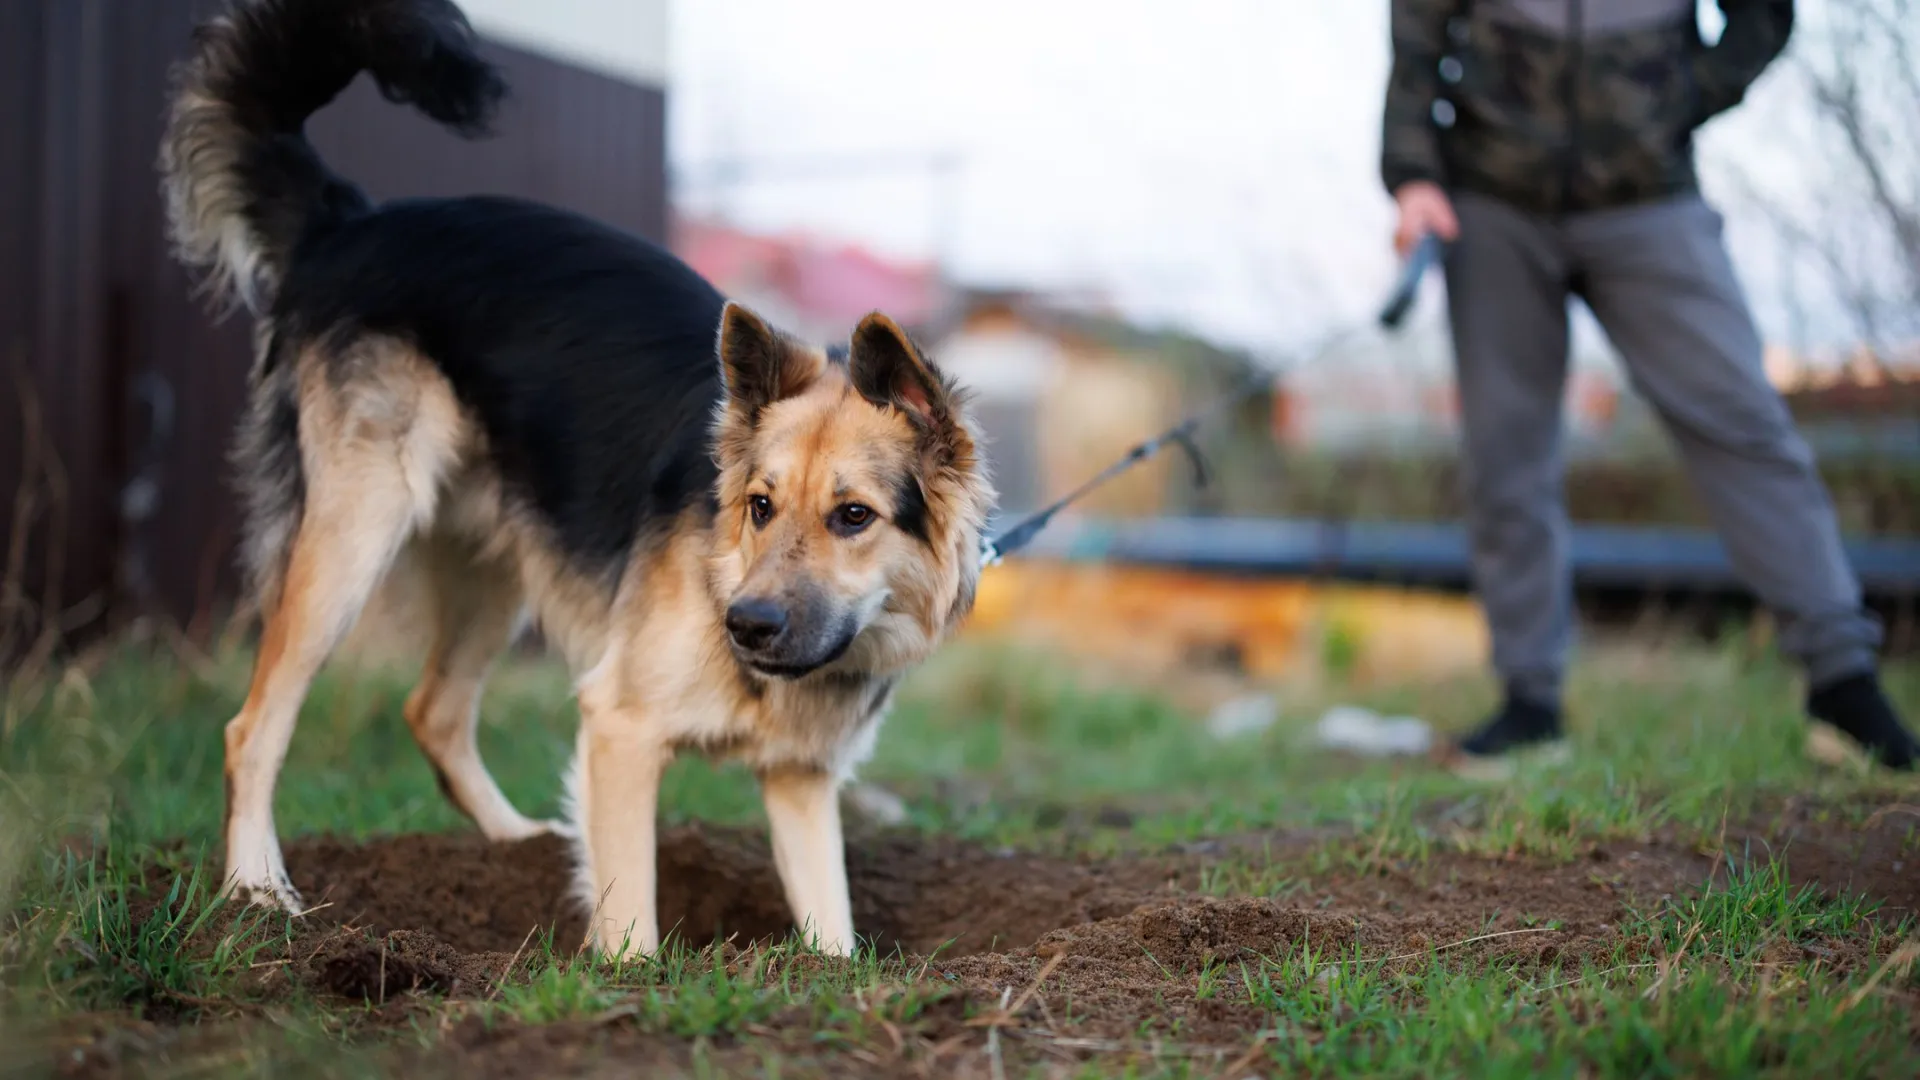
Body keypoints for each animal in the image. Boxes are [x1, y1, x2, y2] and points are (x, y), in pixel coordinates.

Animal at [161, 0, 990, 949]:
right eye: (759, 507)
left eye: (854, 516)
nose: (745, 625)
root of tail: (350, 220)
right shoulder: (621, 730)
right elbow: (632, 918)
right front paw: (623, 971)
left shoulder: (800, 784)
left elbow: (834, 934)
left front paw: (832, 975)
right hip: (353, 534)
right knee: (251, 726)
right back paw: (257, 890)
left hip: (494, 563)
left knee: (433, 711)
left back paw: (519, 846)